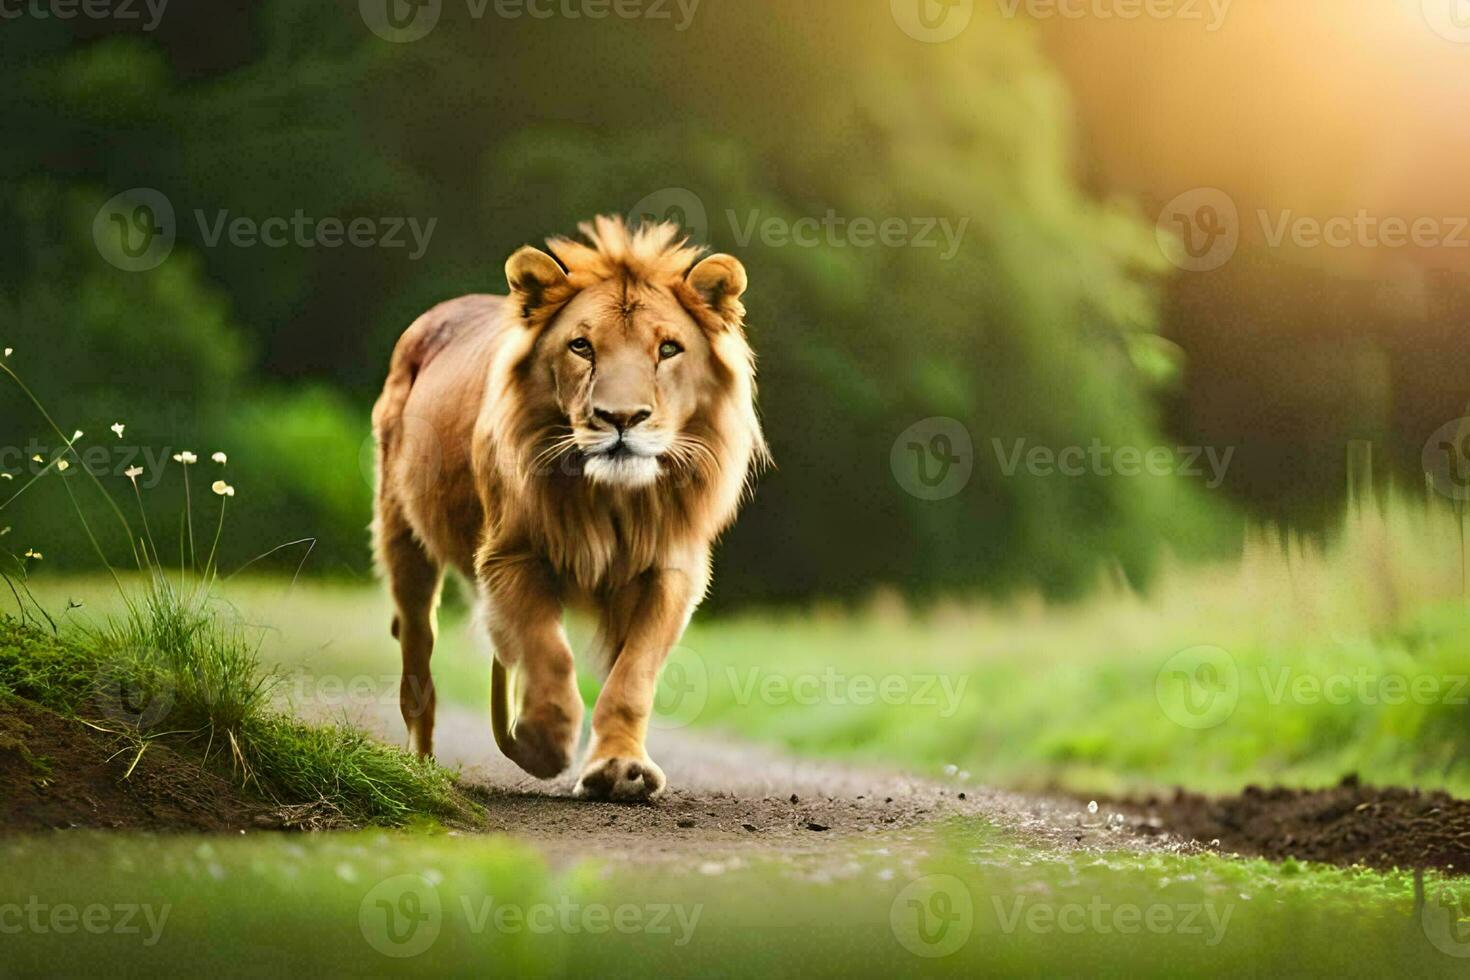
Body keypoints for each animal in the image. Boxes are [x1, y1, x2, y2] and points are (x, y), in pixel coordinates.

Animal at [370, 218, 770, 799]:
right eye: (582, 346)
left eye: (669, 348)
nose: (620, 418)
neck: (610, 498)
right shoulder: (511, 556)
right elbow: (547, 652)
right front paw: (544, 742)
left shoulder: (669, 570)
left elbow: (632, 677)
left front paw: (618, 768)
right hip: (404, 540)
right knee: (418, 658)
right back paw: (421, 769)